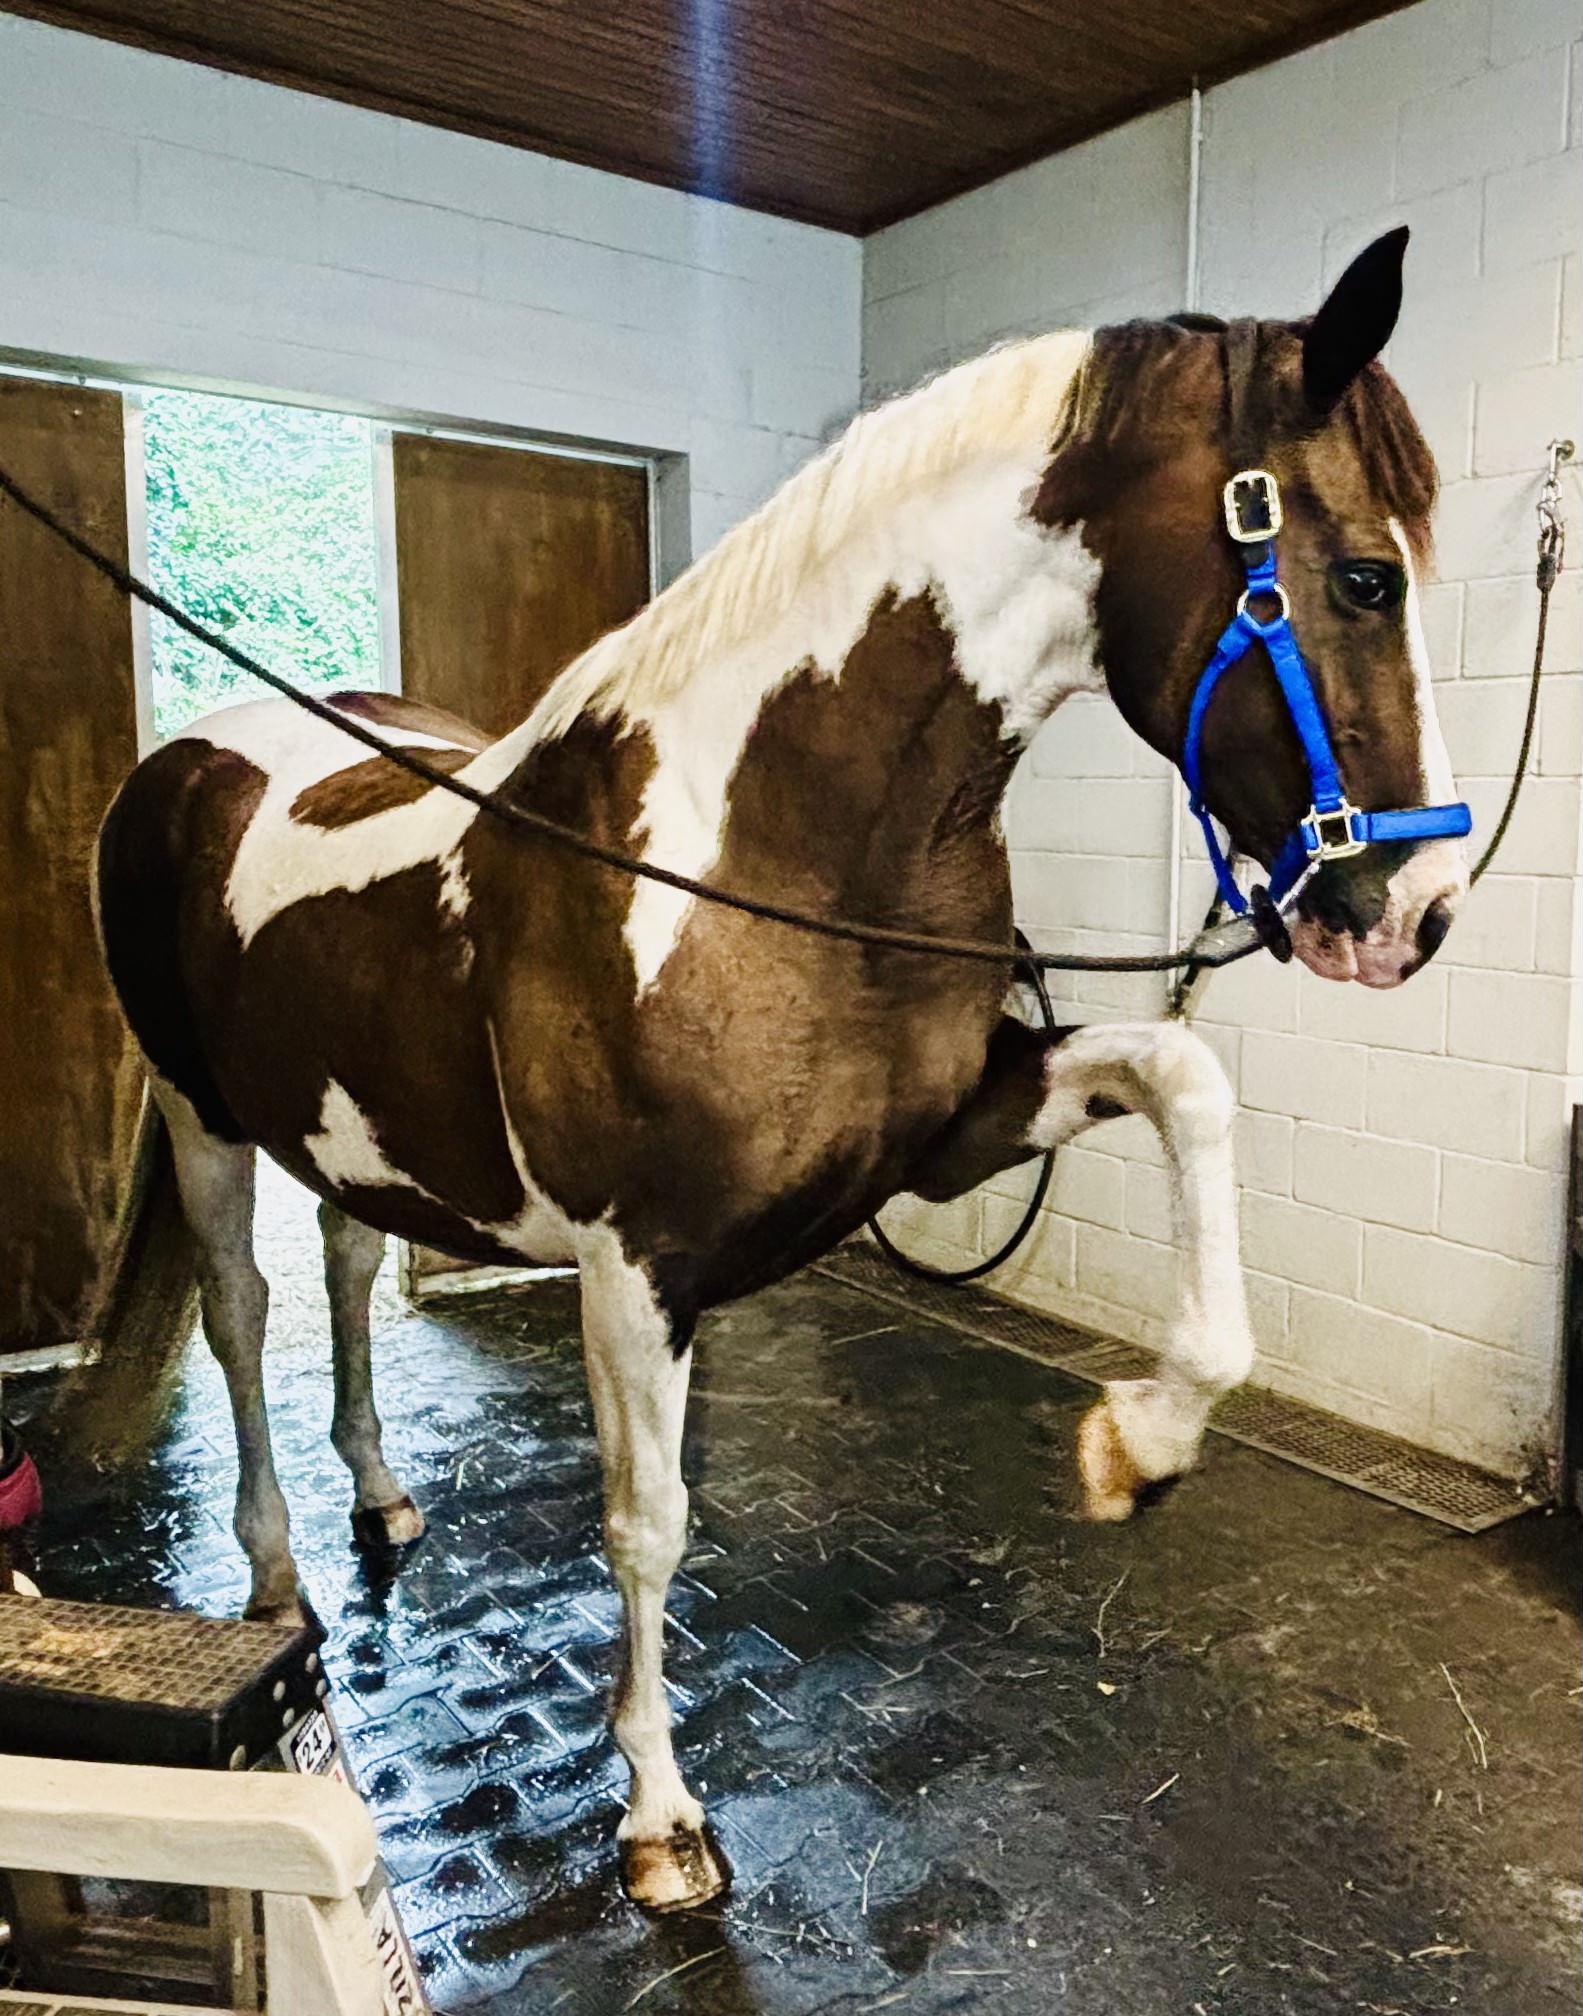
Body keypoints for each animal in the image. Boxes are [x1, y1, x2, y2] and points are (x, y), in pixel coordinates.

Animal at [92, 227, 1466, 1911]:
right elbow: (646, 1524)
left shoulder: (938, 1137)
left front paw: (1138, 1441)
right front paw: (659, 1821)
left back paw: (381, 1495)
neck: (770, 840)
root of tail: (191, 759)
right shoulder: (635, 1265)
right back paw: (278, 1578)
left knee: (350, 1267)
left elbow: (1181, 1078)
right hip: (203, 1117)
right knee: (239, 1313)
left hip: (352, 1132)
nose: (1411, 911)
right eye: (1362, 577)